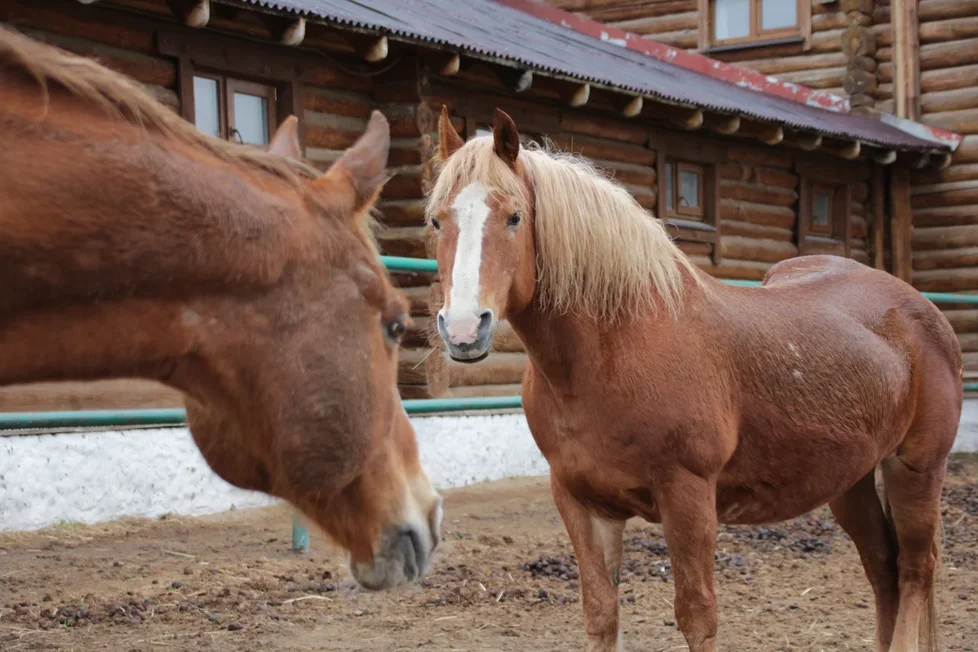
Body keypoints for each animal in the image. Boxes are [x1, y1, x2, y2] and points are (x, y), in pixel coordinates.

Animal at [428, 108, 960, 652]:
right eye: (436, 220)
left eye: (514, 217)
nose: (465, 329)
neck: (613, 350)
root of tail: (920, 308)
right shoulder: (581, 502)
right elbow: (600, 613)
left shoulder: (687, 495)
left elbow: (697, 616)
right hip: (850, 478)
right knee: (882, 566)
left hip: (917, 467)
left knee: (915, 569)